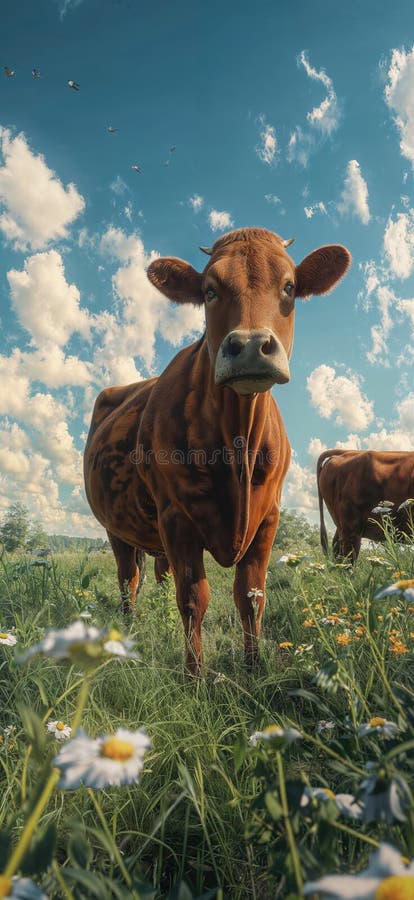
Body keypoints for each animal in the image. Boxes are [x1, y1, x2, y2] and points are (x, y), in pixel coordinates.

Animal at [84, 227, 351, 672]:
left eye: (289, 286)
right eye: (209, 290)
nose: (251, 344)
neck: (237, 443)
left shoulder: (268, 517)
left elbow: (251, 596)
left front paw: (254, 667)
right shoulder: (176, 517)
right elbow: (194, 599)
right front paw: (193, 677)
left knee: (153, 574)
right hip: (116, 528)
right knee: (128, 579)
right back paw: (129, 627)